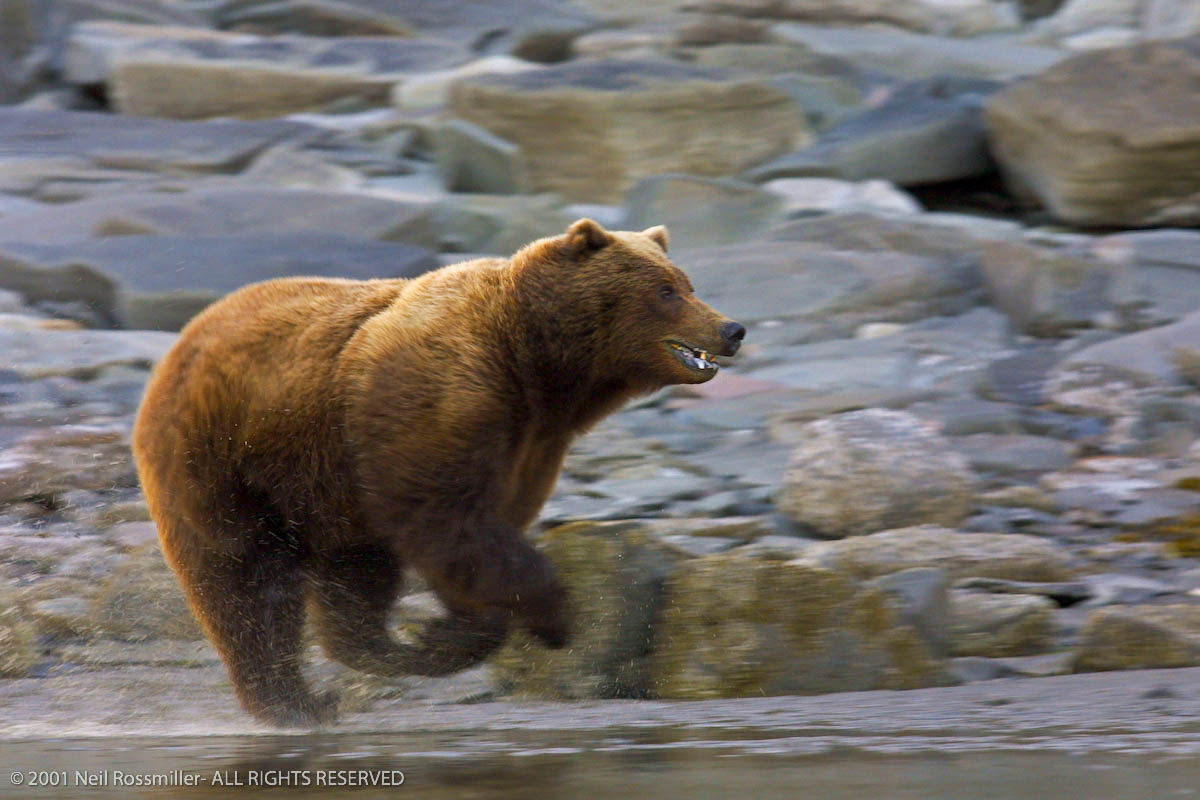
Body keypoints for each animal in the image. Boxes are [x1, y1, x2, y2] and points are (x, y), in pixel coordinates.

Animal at [131, 219, 745, 727]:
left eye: (686, 282)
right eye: (666, 290)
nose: (732, 328)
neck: (536, 366)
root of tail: (182, 341)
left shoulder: (530, 443)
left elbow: (478, 541)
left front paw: (449, 633)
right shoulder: (446, 399)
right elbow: (450, 523)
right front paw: (552, 617)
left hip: (328, 488)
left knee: (351, 577)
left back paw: (356, 663)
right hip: (224, 456)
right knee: (243, 580)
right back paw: (290, 701)